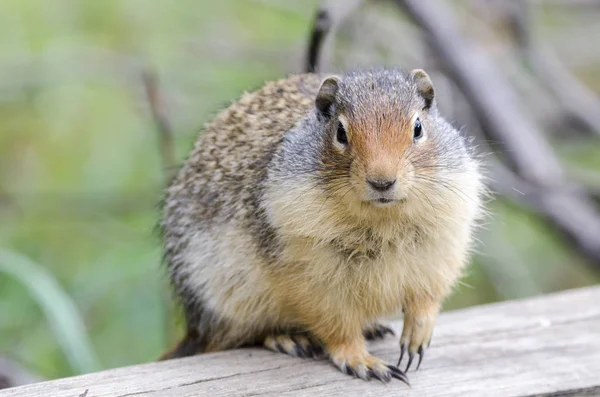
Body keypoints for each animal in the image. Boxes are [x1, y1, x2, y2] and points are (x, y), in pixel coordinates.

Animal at [159, 66, 482, 382]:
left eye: (418, 128)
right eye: (340, 132)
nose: (382, 181)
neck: (382, 220)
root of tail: (196, 327)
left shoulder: (441, 249)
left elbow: (428, 298)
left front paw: (417, 335)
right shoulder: (311, 276)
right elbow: (337, 323)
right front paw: (361, 361)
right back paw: (287, 338)